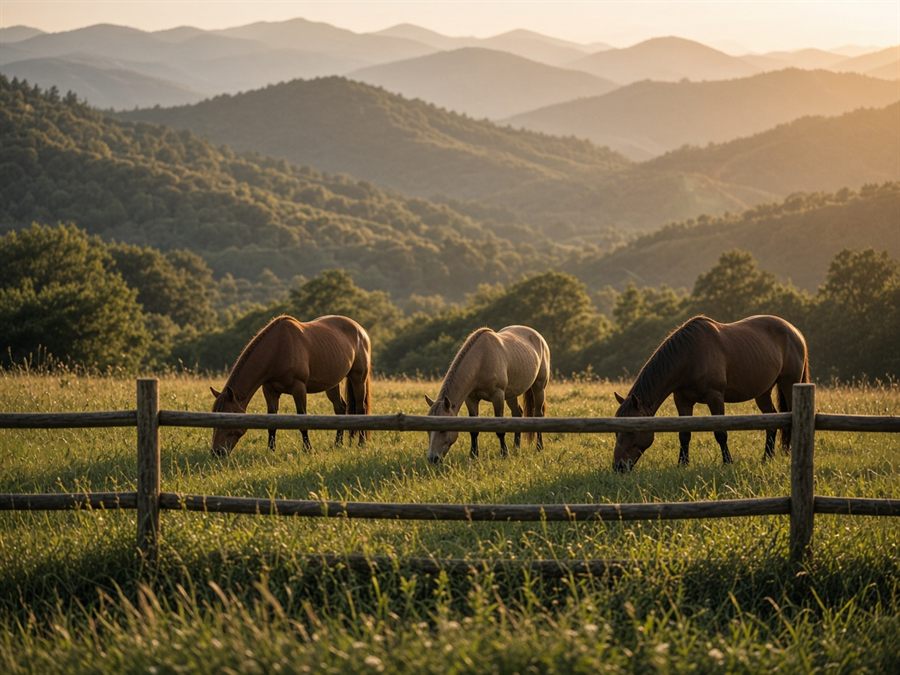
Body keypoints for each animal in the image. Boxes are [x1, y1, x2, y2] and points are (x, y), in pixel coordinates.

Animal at [209, 314, 371, 456]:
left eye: (228, 419)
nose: (217, 452)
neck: (278, 349)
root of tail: (361, 330)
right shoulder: (269, 390)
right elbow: (271, 421)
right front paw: (271, 450)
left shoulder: (298, 388)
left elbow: (302, 418)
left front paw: (308, 449)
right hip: (332, 384)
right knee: (340, 409)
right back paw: (338, 444)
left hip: (358, 378)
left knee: (360, 408)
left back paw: (361, 444)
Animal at [424, 325, 550, 464]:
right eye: (428, 430)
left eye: (443, 429)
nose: (432, 458)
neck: (481, 359)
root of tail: (538, 336)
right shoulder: (471, 399)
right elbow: (473, 430)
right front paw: (473, 455)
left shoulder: (498, 396)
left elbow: (500, 429)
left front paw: (504, 454)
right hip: (511, 394)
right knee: (517, 414)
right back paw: (516, 448)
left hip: (539, 388)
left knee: (538, 414)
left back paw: (539, 447)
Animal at [612, 314, 810, 472]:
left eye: (631, 432)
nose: (618, 467)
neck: (690, 355)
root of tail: (795, 332)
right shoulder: (682, 400)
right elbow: (684, 434)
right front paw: (682, 464)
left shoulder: (715, 397)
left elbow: (720, 433)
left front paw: (727, 462)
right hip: (763, 392)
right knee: (772, 420)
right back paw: (766, 458)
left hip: (788, 383)